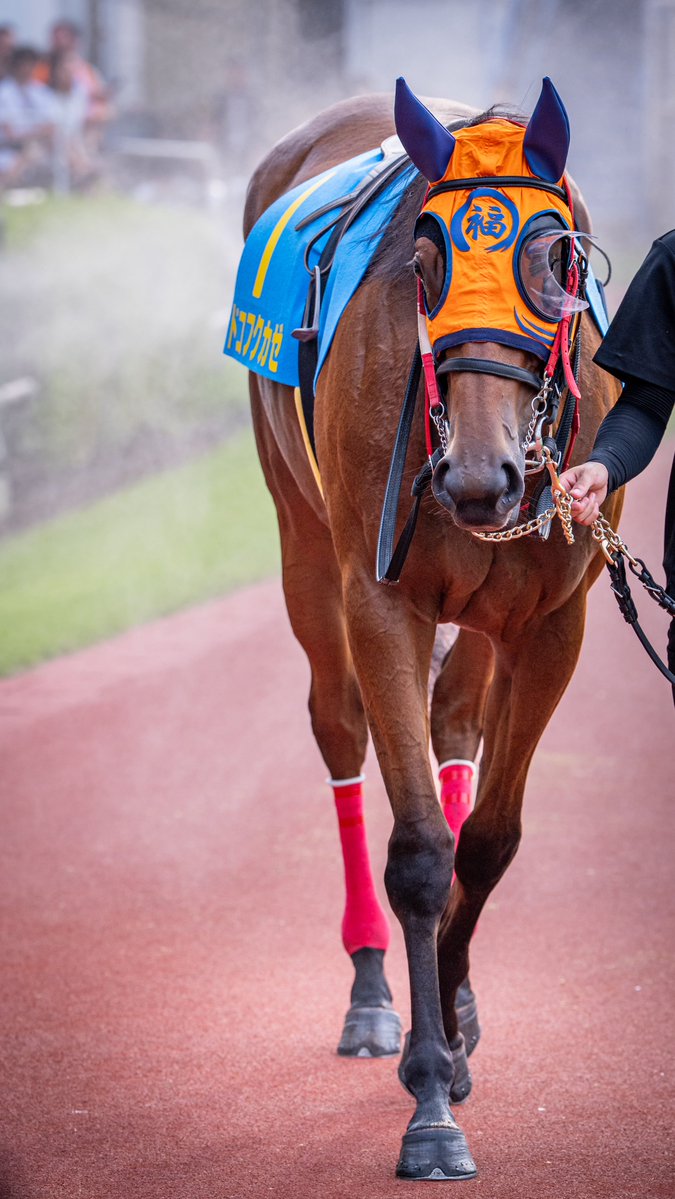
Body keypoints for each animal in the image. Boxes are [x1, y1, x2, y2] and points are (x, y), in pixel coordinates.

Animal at [239, 78, 622, 1180]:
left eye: (557, 259)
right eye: (424, 262)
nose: (478, 474)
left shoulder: (552, 621)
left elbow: (484, 841)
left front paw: (450, 1030)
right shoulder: (384, 596)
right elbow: (418, 850)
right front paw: (428, 1099)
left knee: (455, 728)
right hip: (304, 533)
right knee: (337, 721)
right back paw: (375, 993)